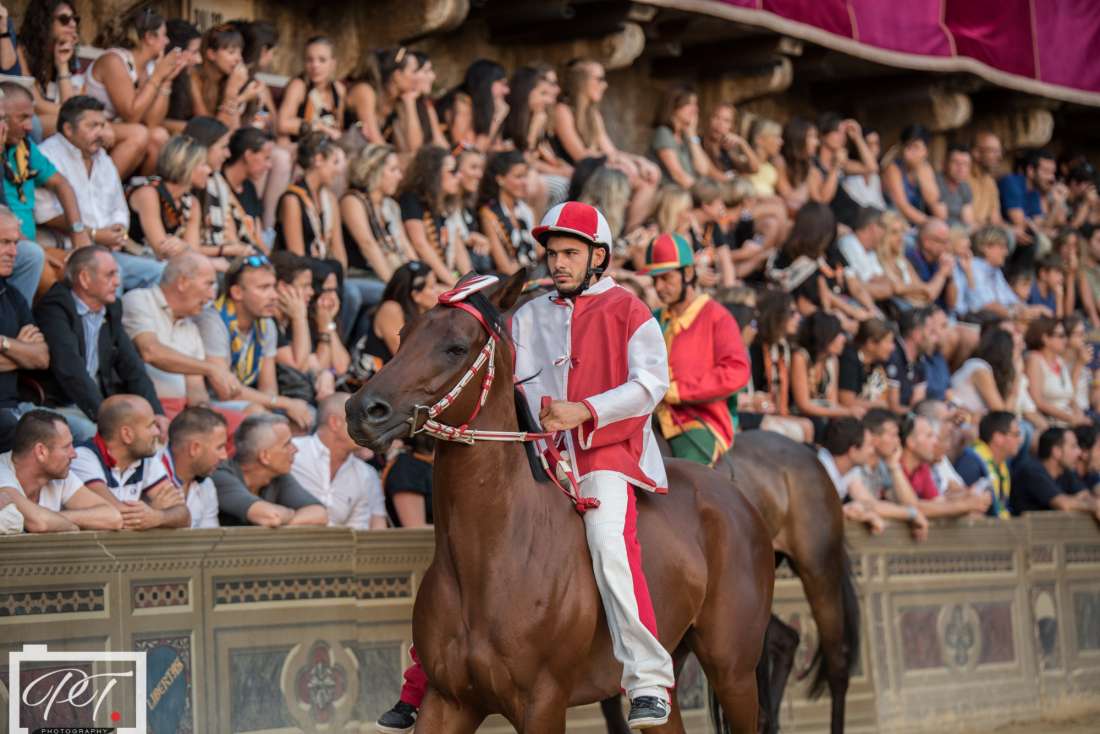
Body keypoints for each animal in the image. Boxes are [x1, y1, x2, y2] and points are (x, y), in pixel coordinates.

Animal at [345, 271, 774, 734]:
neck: (492, 556)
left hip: (733, 671)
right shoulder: (448, 701)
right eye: (403, 335)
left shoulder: (542, 701)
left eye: (456, 347)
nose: (361, 409)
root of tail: (735, 496)